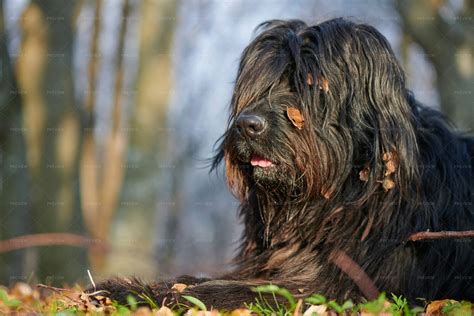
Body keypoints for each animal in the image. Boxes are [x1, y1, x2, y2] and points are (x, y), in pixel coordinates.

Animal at [90, 18, 474, 310]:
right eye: (259, 85)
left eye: (308, 86)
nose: (247, 125)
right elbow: (198, 280)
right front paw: (135, 286)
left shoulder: (347, 287)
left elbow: (233, 291)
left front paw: (137, 291)